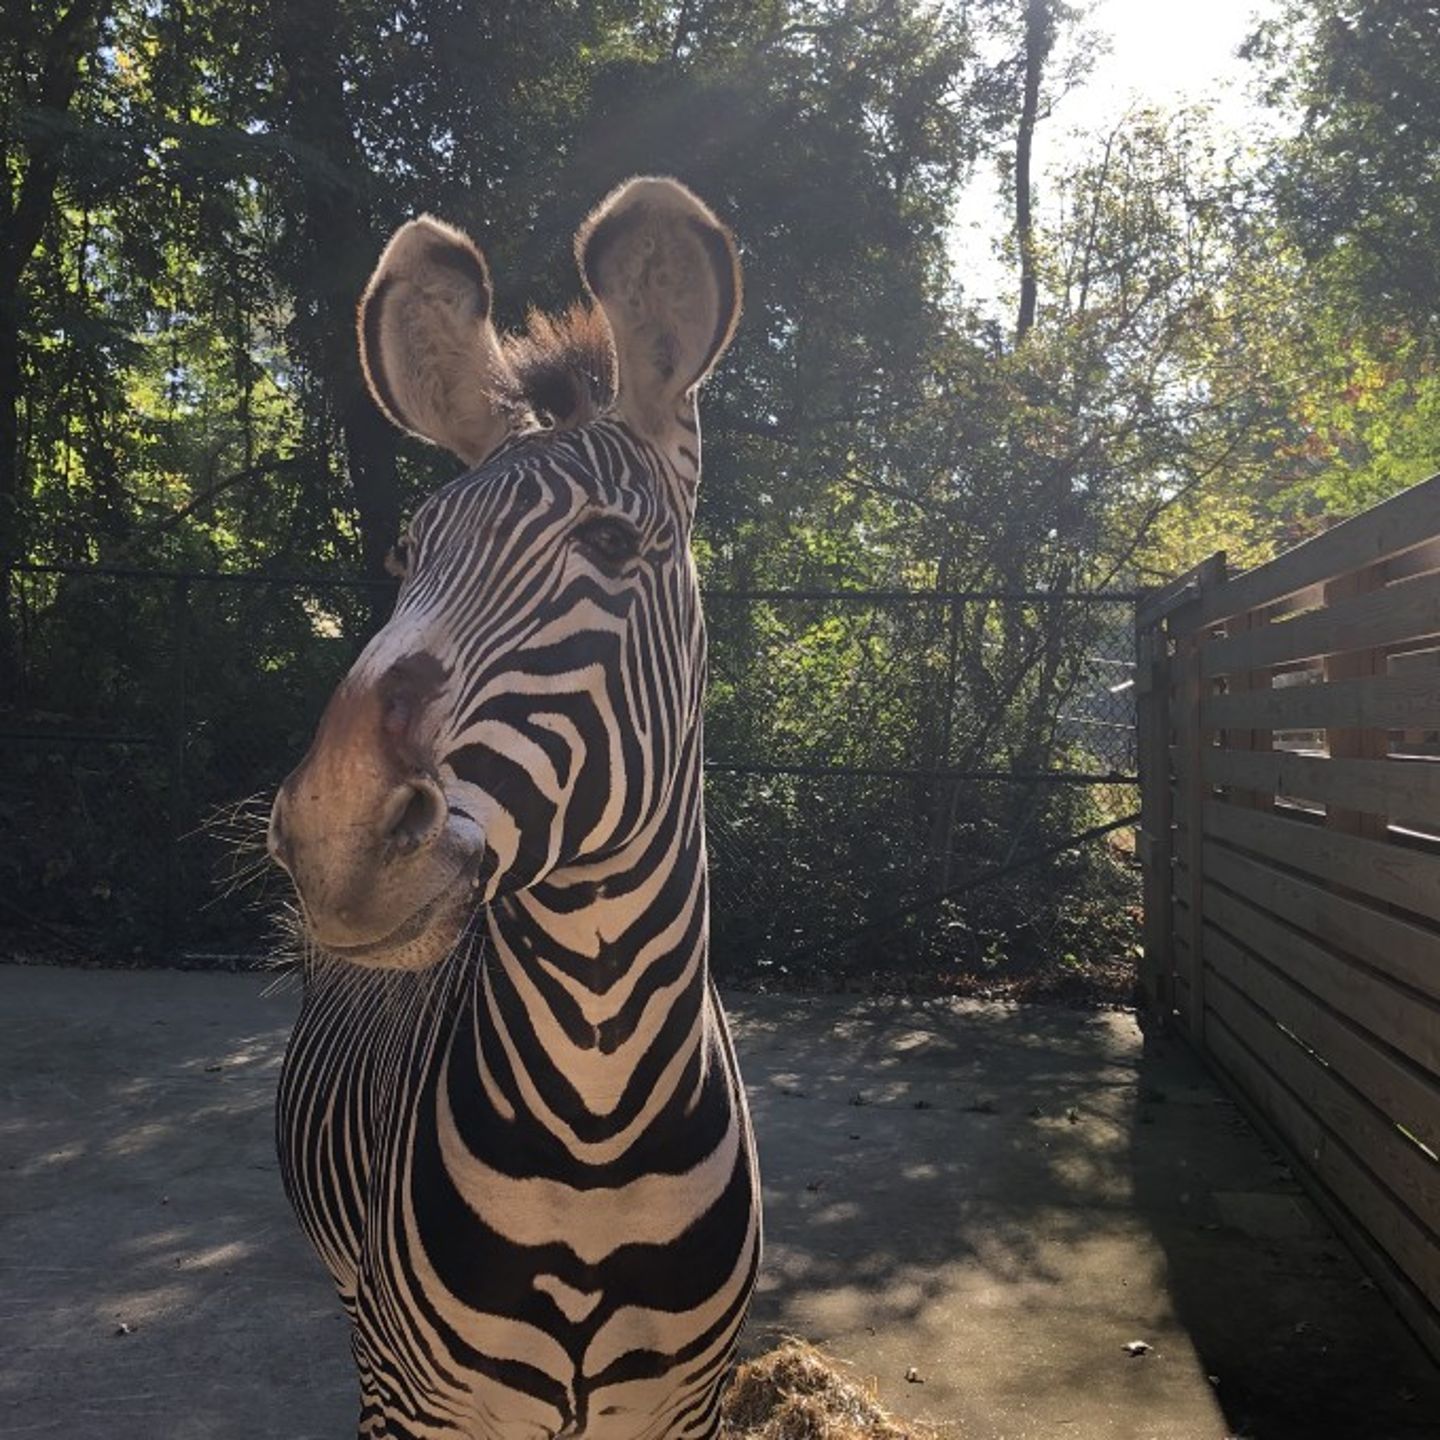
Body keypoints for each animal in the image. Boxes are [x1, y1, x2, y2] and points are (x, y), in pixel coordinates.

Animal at [267, 178, 760, 1440]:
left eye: (611, 543)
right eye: (406, 554)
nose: (337, 834)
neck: (593, 1127)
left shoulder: (684, 1411)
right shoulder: (419, 1401)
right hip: (362, 1328)